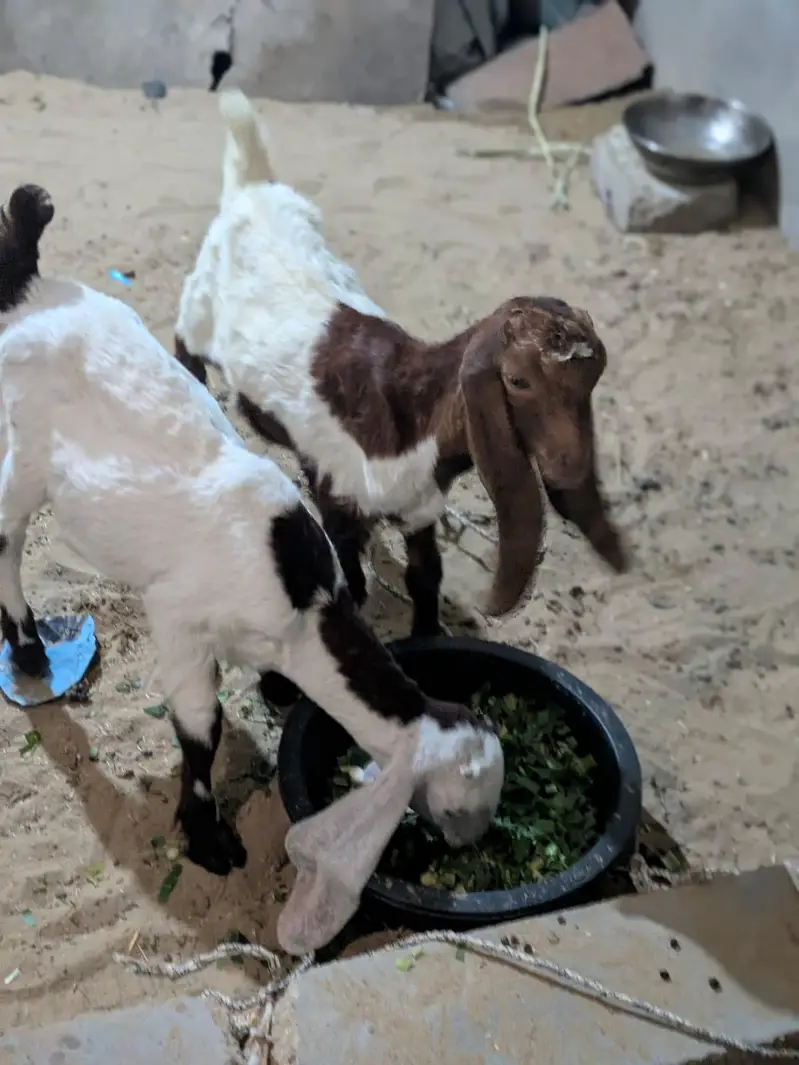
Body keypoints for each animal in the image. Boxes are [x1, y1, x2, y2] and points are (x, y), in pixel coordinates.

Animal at [0, 184, 503, 955]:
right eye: (465, 798)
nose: (470, 843)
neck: (302, 605)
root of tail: (25, 285)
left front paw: (274, 691)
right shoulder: (179, 619)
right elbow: (200, 729)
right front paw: (208, 840)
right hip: (19, 454)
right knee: (5, 542)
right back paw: (28, 652)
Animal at [175, 89, 629, 639]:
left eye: (592, 383)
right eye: (518, 381)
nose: (568, 466)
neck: (413, 409)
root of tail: (253, 188)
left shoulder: (418, 509)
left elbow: (424, 574)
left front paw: (428, 632)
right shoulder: (341, 494)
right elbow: (348, 563)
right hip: (198, 308)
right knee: (184, 350)